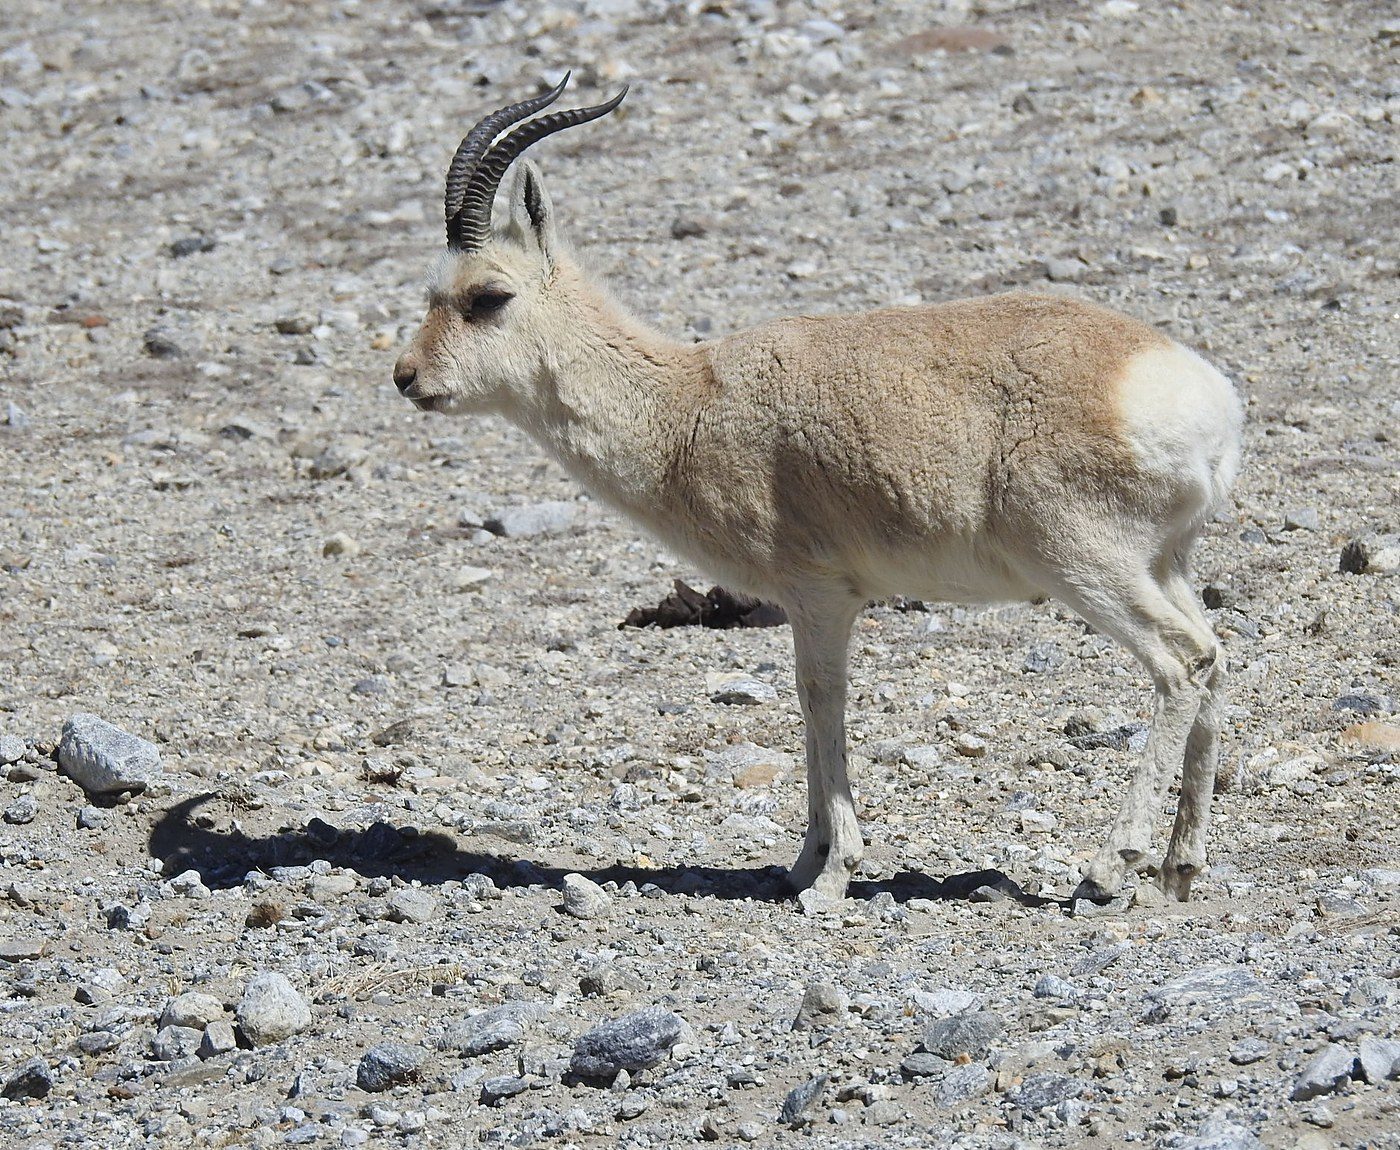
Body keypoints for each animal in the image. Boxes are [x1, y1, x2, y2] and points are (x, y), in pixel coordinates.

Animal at [391, 75, 1244, 904]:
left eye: (487, 296)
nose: (406, 377)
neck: (689, 406)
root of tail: (1201, 396)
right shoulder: (816, 602)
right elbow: (810, 705)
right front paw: (803, 864)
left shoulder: (819, 595)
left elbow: (818, 697)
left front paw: (832, 874)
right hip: (1163, 562)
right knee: (1216, 658)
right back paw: (1180, 869)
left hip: (1081, 563)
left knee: (1180, 664)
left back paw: (1108, 868)